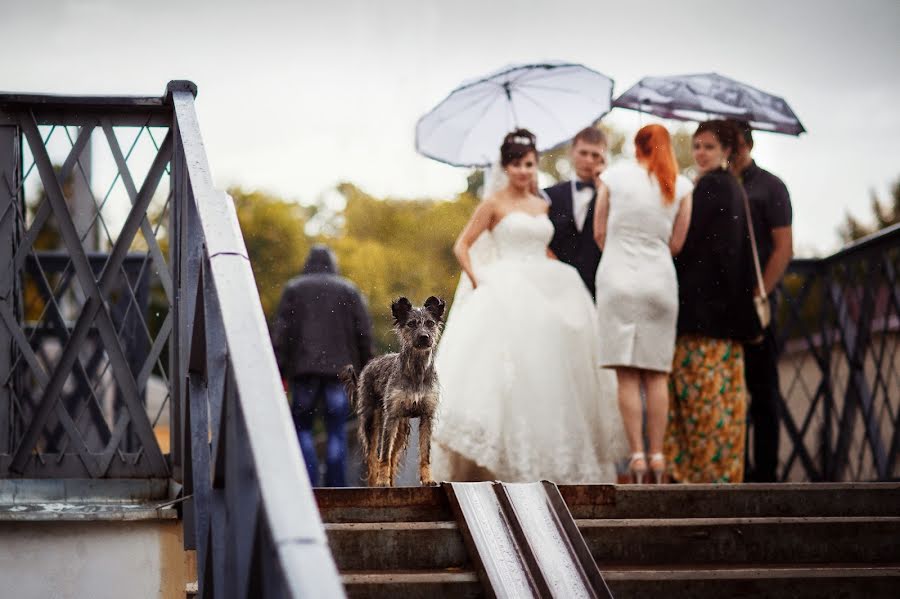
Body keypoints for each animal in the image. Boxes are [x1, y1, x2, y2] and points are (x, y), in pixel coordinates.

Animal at [340, 296, 444, 488]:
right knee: (373, 457)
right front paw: (382, 481)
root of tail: (370, 364)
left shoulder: (427, 416)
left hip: (401, 428)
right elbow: (384, 455)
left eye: (430, 323)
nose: (424, 337)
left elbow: (425, 454)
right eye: (411, 324)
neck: (417, 371)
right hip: (372, 421)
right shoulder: (391, 417)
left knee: (394, 456)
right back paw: (375, 482)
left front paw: (427, 479)